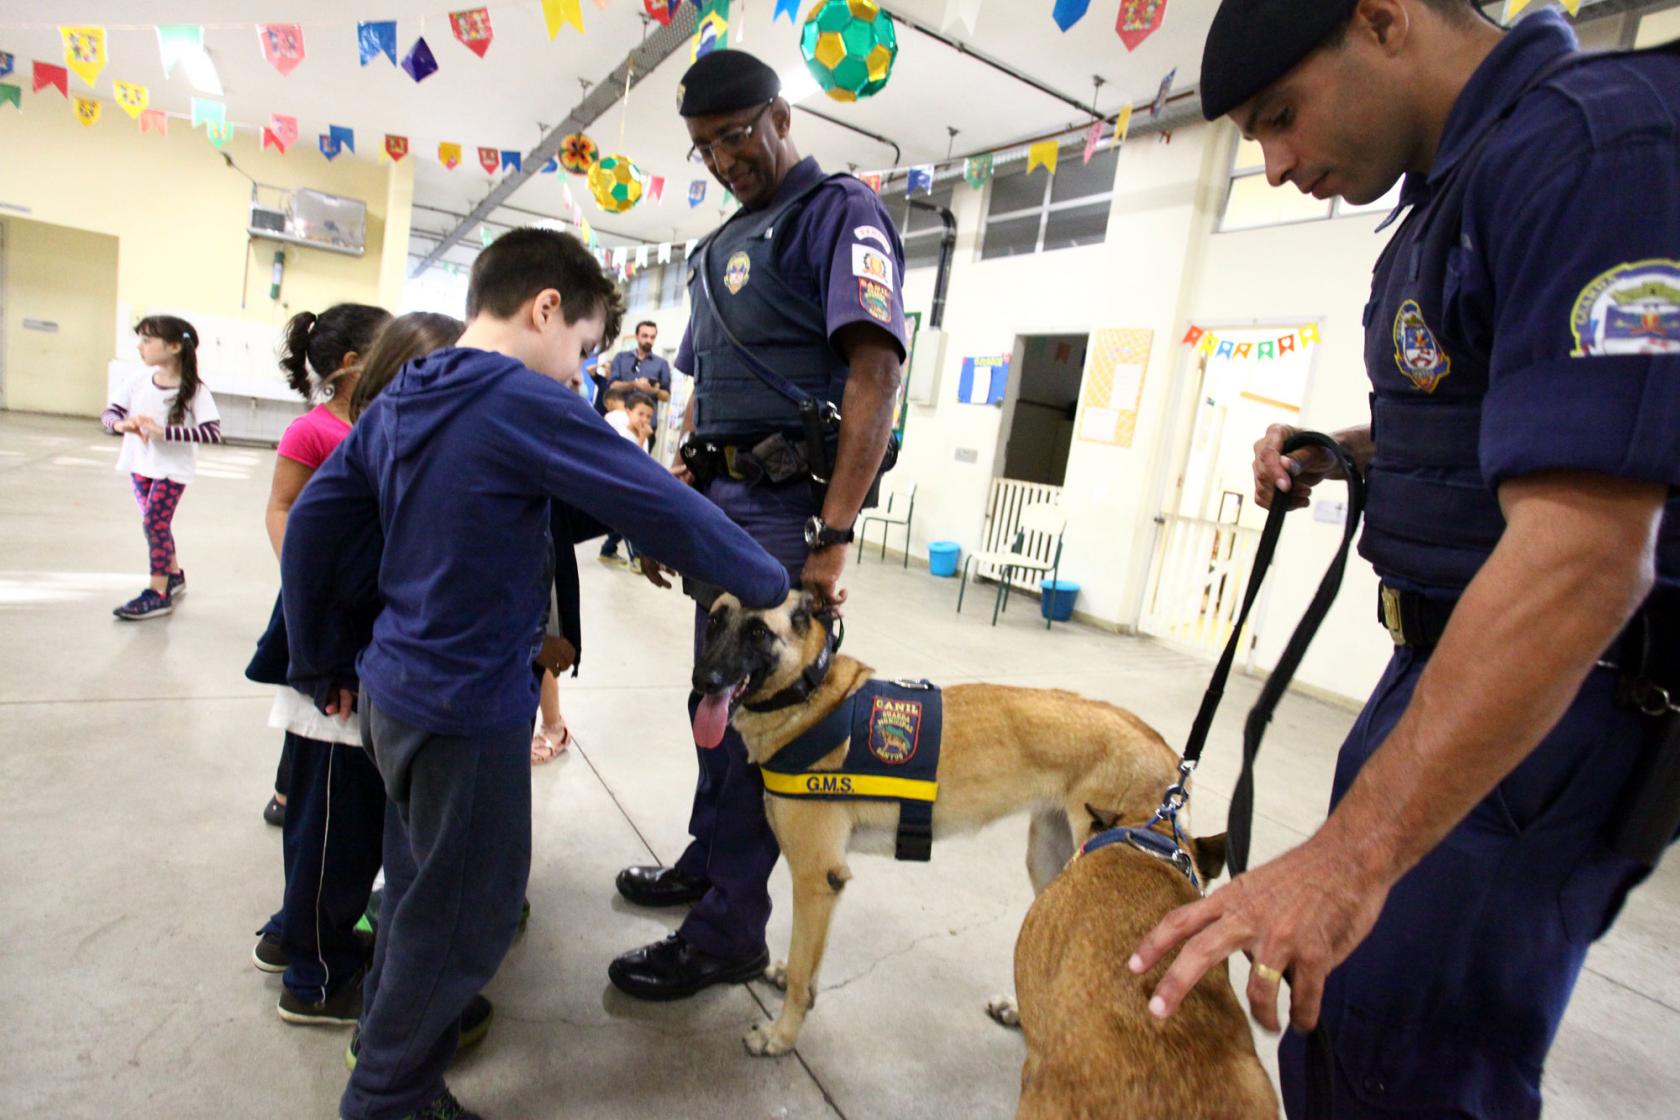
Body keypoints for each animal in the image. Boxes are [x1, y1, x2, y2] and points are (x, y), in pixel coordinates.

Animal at [692, 591, 1182, 1067]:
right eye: (714, 621)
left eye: (758, 631)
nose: (703, 681)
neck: (809, 695)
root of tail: (1165, 752)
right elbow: (806, 963)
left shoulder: (816, 879)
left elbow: (800, 972)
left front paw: (781, 1036)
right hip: (1051, 865)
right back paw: (1021, 1013)